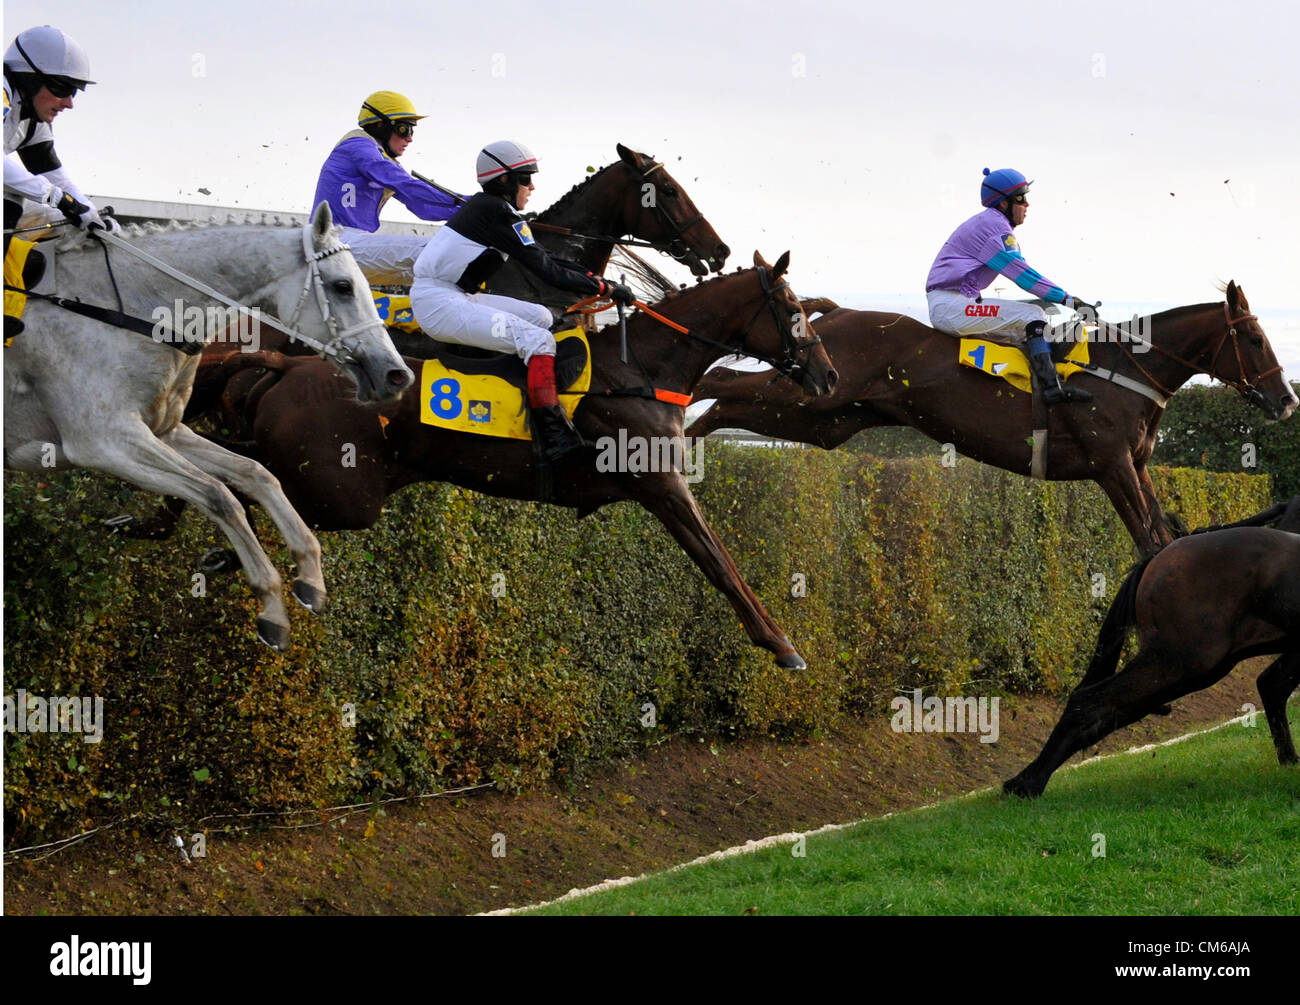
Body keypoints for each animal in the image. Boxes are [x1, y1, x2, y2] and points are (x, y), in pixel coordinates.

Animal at [180, 254, 832, 670]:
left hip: (345, 483)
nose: (827, 375)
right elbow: (720, 564)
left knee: (251, 479)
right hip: (346, 491)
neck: (640, 370)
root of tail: (291, 364)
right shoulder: (661, 484)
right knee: (257, 484)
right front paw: (782, 645)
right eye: (794, 310)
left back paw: (209, 543)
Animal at [686, 282, 1294, 556]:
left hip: (827, 419)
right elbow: (1150, 540)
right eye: (1255, 339)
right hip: (816, 393)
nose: (1287, 400)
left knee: (727, 404)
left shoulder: (1135, 465)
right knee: (718, 383)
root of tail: (834, 314)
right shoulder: (1111, 464)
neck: (1124, 370)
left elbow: (1163, 533)